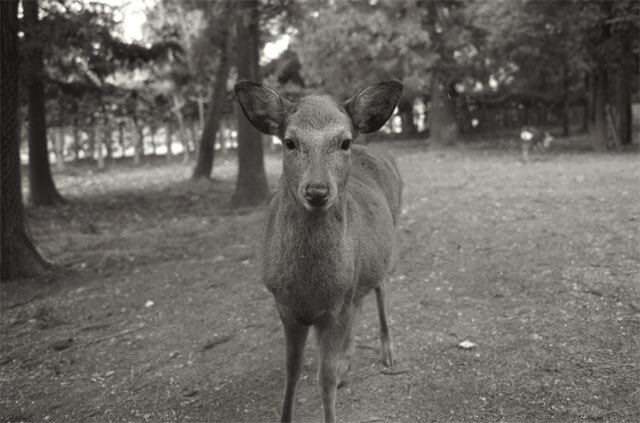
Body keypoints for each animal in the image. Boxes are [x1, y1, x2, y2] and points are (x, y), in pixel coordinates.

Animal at [235, 80, 404, 423]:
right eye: (289, 142)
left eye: (344, 142)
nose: (316, 191)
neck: (309, 286)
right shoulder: (285, 305)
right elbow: (292, 372)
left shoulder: (335, 308)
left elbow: (323, 379)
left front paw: (333, 384)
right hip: (356, 277)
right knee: (361, 300)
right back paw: (347, 363)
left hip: (386, 248)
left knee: (380, 291)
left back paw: (388, 353)